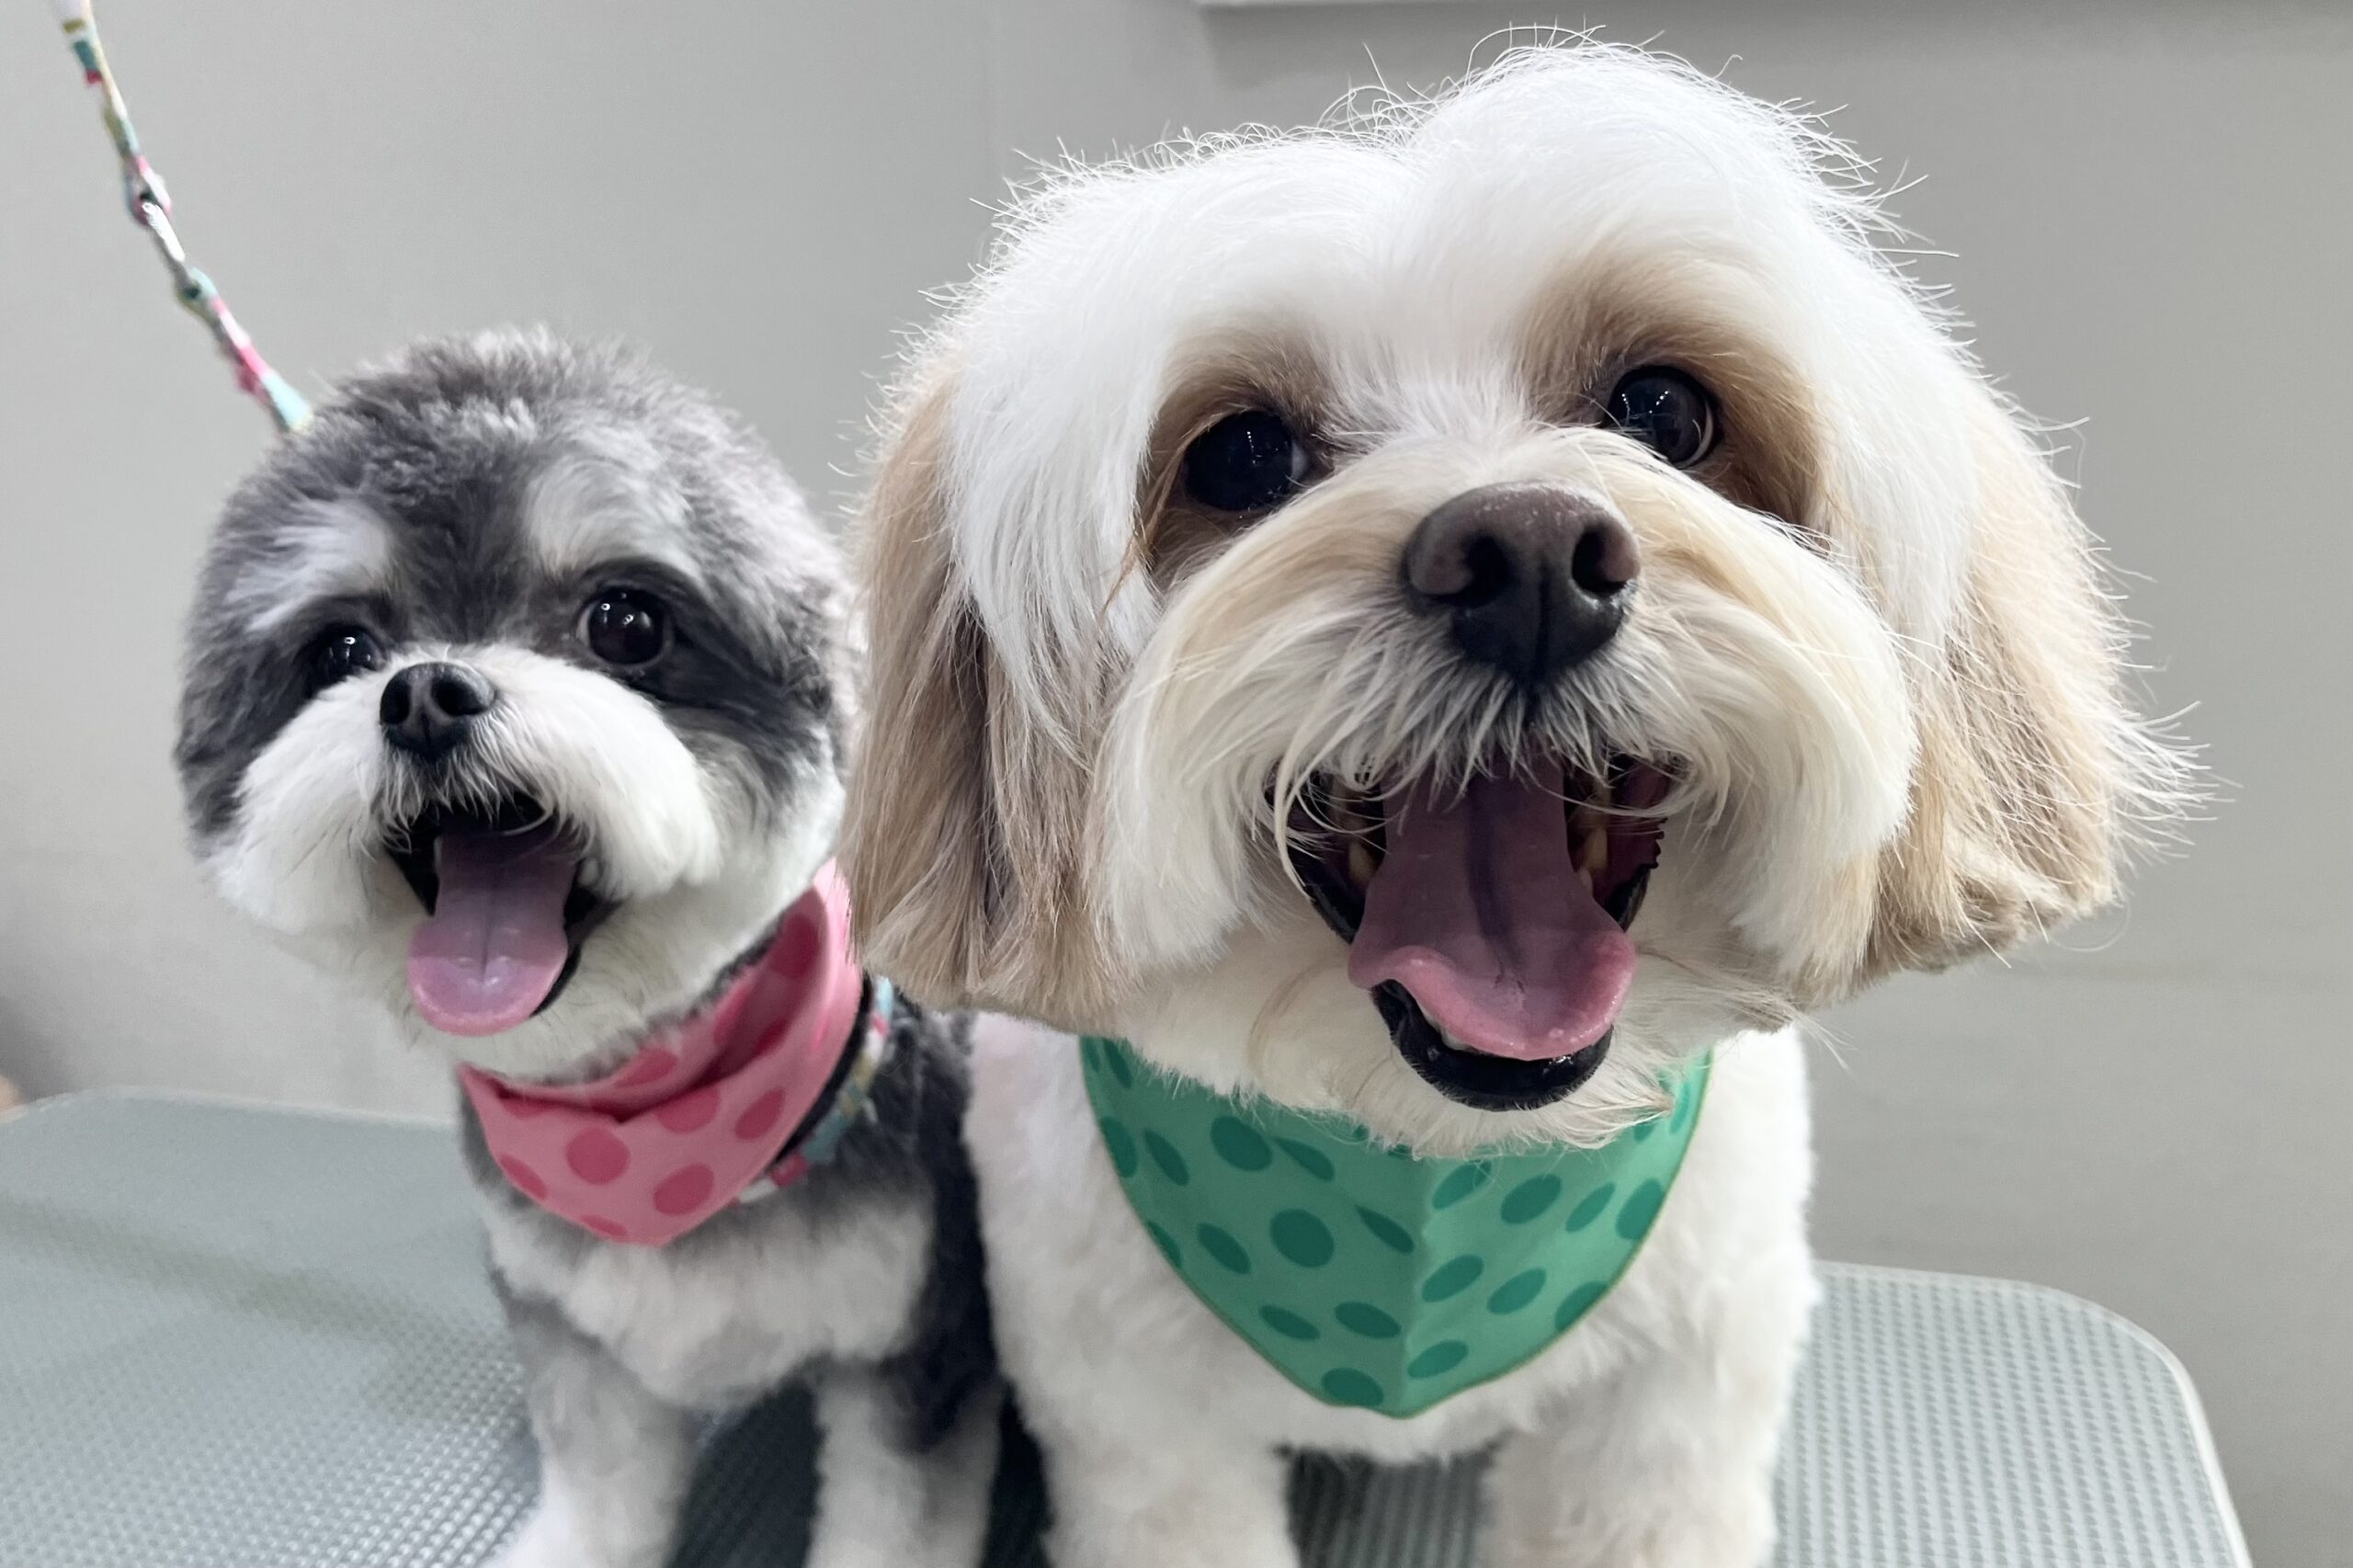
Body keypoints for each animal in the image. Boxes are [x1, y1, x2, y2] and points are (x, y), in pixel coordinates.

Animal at [175, 331, 997, 1568]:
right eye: (342, 647)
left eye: (627, 623)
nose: (425, 692)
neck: (645, 1116)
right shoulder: (577, 1337)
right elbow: (605, 1480)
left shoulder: (913, 1342)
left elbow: (895, 1513)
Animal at [841, 45, 2189, 1568]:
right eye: (1238, 457)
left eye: (1664, 412)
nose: (1530, 556)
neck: (1441, 1162)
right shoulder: (1132, 1411)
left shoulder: (1673, 1391)